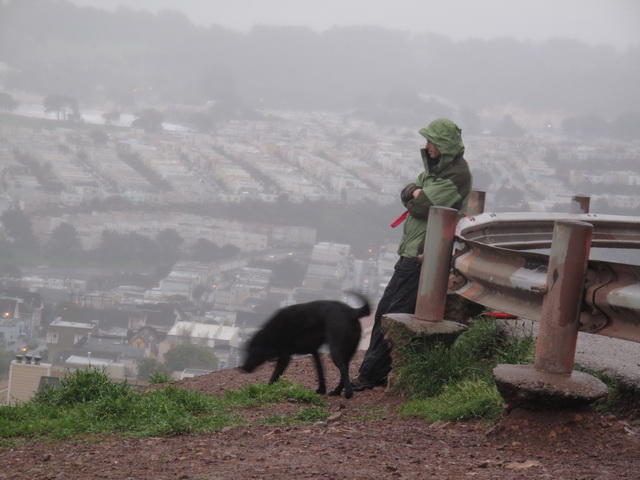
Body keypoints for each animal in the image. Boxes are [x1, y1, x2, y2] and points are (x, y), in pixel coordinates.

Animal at [240, 292, 370, 398]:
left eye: (251, 353)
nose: (244, 368)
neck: (270, 333)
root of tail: (352, 311)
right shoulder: (314, 351)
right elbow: (320, 370)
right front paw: (321, 389)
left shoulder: (284, 357)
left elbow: (275, 375)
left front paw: (267, 389)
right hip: (347, 352)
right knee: (345, 369)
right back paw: (337, 391)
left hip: (335, 351)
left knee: (343, 369)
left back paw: (348, 393)